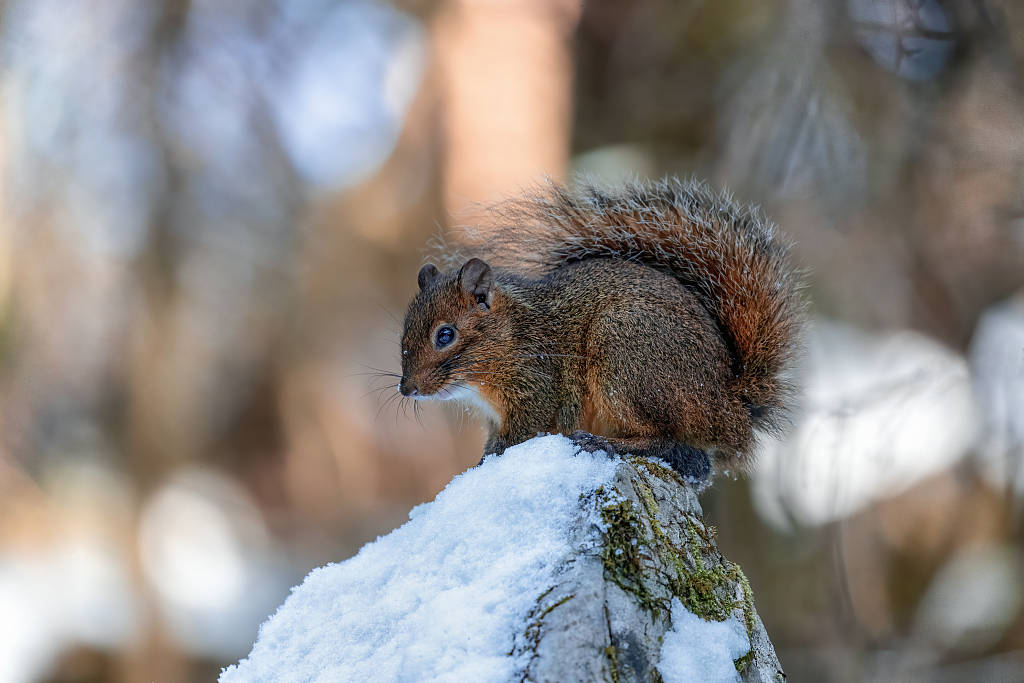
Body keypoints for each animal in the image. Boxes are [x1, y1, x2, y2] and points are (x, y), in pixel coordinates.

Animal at [395, 179, 802, 483]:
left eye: (445, 335)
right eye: (403, 334)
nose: (407, 389)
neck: (509, 334)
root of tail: (731, 404)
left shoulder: (538, 385)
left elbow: (522, 433)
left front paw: (487, 461)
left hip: (625, 353)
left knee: (661, 438)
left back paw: (604, 443)